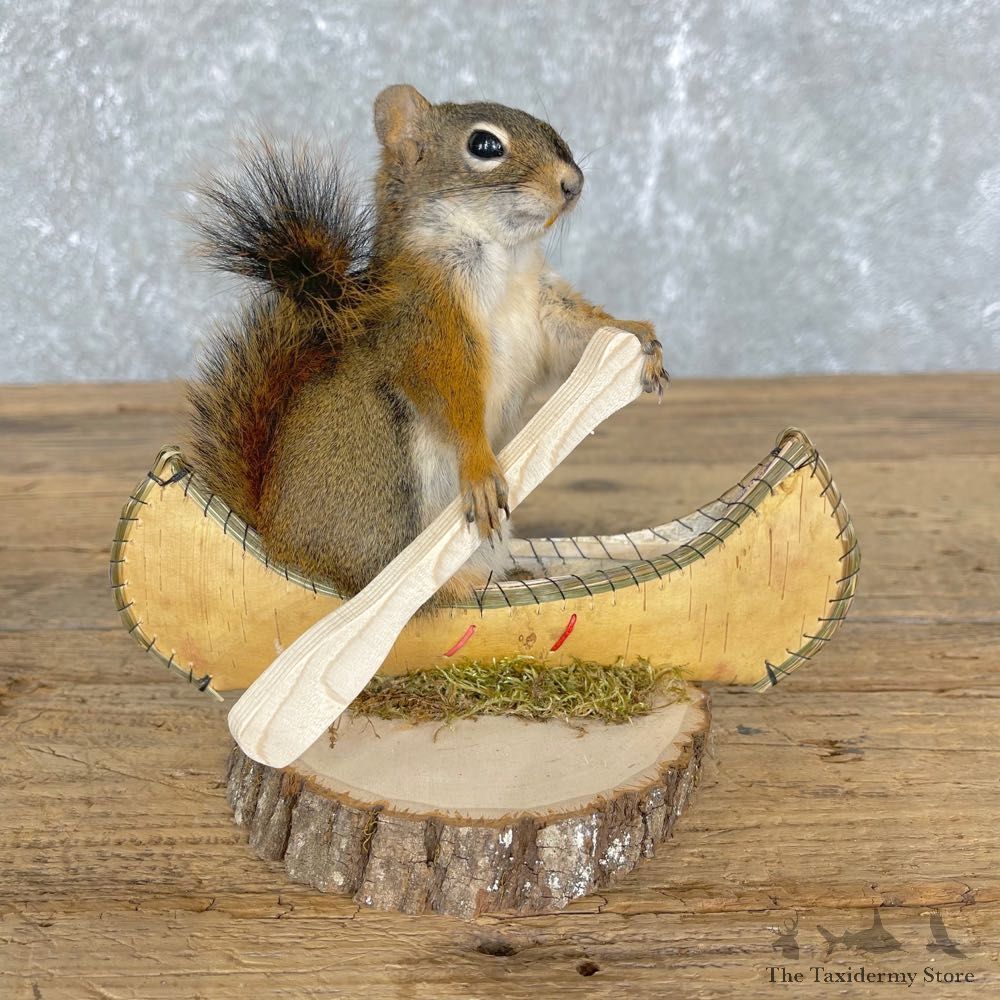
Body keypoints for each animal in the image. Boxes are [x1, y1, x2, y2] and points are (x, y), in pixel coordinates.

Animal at [186, 84, 666, 603]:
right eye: (484, 145)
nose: (573, 184)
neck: (504, 255)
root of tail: (277, 544)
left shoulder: (544, 307)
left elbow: (575, 332)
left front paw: (637, 333)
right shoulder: (428, 324)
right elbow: (451, 395)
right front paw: (479, 465)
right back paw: (460, 585)